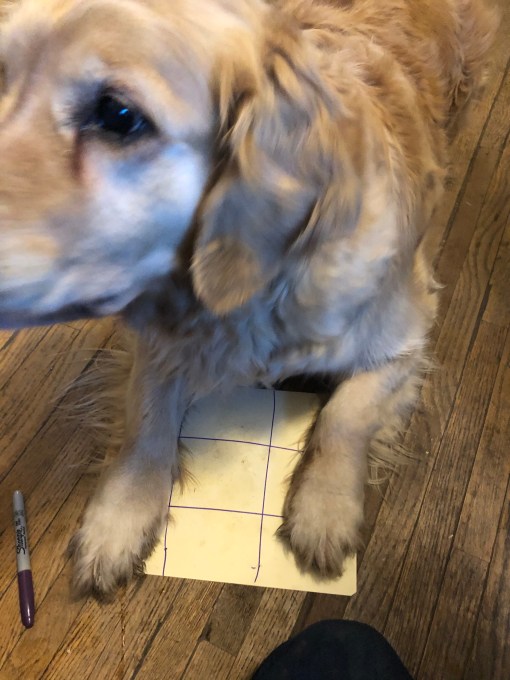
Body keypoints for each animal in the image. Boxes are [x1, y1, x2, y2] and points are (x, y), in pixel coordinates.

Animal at [0, 0, 497, 598]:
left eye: (120, 116)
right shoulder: (159, 346)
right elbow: (147, 425)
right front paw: (117, 522)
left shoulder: (404, 334)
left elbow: (345, 419)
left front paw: (323, 513)